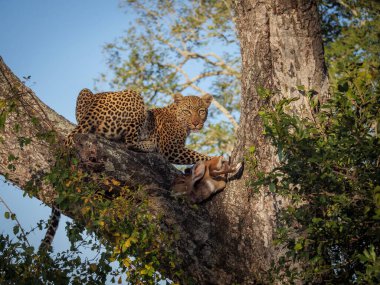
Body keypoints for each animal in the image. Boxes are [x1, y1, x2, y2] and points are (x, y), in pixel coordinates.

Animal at [65, 88, 214, 164]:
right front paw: (216, 159)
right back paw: (149, 145)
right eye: (187, 111)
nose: (196, 123)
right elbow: (198, 156)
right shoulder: (171, 150)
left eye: (201, 111)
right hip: (135, 95)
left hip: (85, 92)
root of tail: (95, 107)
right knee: (129, 143)